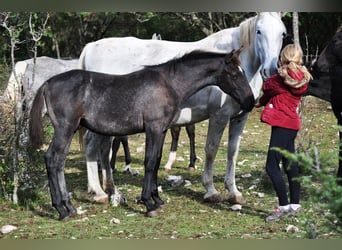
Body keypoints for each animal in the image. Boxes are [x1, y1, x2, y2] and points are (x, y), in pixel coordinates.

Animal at [81, 12, 286, 205]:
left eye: (283, 33)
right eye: (259, 31)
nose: (271, 70)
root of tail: (90, 47)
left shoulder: (239, 117)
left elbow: (232, 152)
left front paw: (234, 192)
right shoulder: (219, 116)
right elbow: (211, 150)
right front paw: (211, 190)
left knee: (101, 148)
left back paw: (106, 190)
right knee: (93, 145)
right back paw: (101, 192)